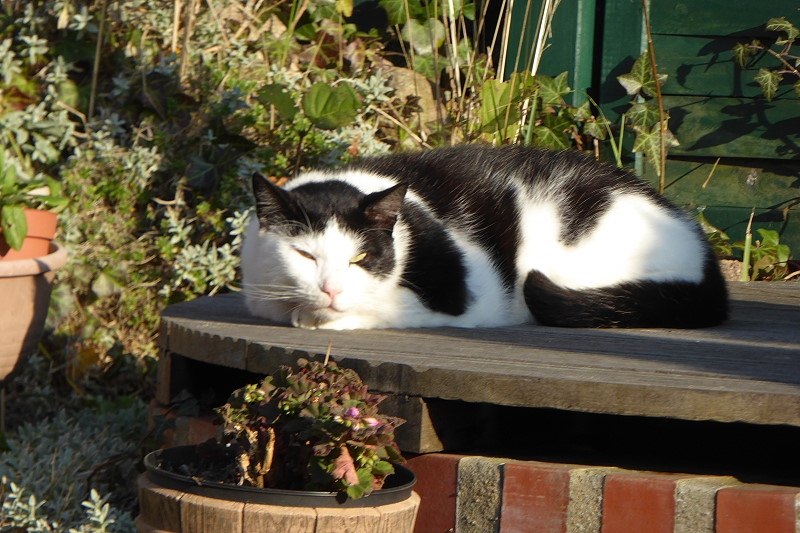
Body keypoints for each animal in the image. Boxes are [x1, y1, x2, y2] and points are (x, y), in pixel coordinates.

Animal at [241, 145, 728, 328]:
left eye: (360, 259)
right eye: (305, 256)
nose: (332, 290)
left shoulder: (458, 302)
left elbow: (374, 309)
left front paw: (322, 316)